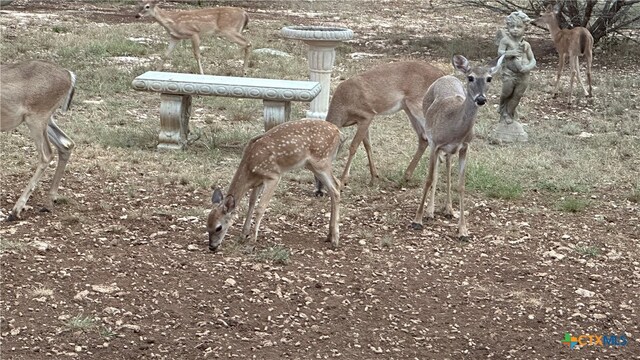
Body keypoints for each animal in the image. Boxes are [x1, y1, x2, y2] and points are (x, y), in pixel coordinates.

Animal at [0, 60, 76, 221]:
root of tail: (69, 75)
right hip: (46, 119)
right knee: (66, 144)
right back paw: (49, 203)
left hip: (37, 117)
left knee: (47, 154)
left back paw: (16, 210)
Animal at [208, 119, 342, 252]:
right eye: (207, 225)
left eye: (218, 227)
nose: (212, 247)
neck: (250, 168)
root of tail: (337, 131)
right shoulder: (258, 182)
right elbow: (251, 203)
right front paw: (243, 235)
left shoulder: (273, 176)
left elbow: (260, 207)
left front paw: (252, 241)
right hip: (314, 164)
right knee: (335, 186)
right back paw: (329, 236)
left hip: (321, 161)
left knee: (335, 188)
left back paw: (335, 240)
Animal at [316, 60, 444, 194]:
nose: (319, 189)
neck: (344, 107)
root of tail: (442, 73)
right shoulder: (362, 121)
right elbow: (368, 145)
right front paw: (374, 177)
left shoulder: (367, 115)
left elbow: (354, 146)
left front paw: (343, 181)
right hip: (407, 107)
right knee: (423, 138)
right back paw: (406, 177)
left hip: (418, 103)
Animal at [410, 54, 504, 239]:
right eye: (471, 77)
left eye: (489, 78)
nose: (481, 99)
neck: (454, 127)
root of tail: (447, 76)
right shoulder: (435, 143)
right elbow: (429, 178)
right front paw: (418, 220)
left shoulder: (465, 147)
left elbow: (461, 184)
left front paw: (463, 230)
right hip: (431, 135)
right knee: (437, 171)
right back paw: (430, 211)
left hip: (449, 150)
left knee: (446, 165)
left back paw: (448, 209)